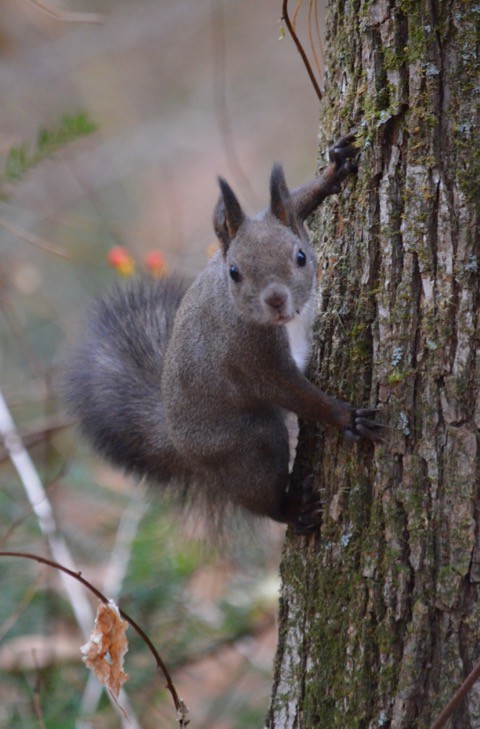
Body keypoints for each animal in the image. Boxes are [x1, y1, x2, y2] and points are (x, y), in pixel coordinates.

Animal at [64, 134, 378, 536]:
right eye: (235, 272)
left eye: (301, 256)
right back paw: (293, 508)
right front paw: (345, 418)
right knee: (261, 492)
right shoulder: (251, 358)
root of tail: (177, 442)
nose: (276, 299)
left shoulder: (274, 223)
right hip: (248, 444)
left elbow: (289, 205)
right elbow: (297, 394)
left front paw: (333, 169)